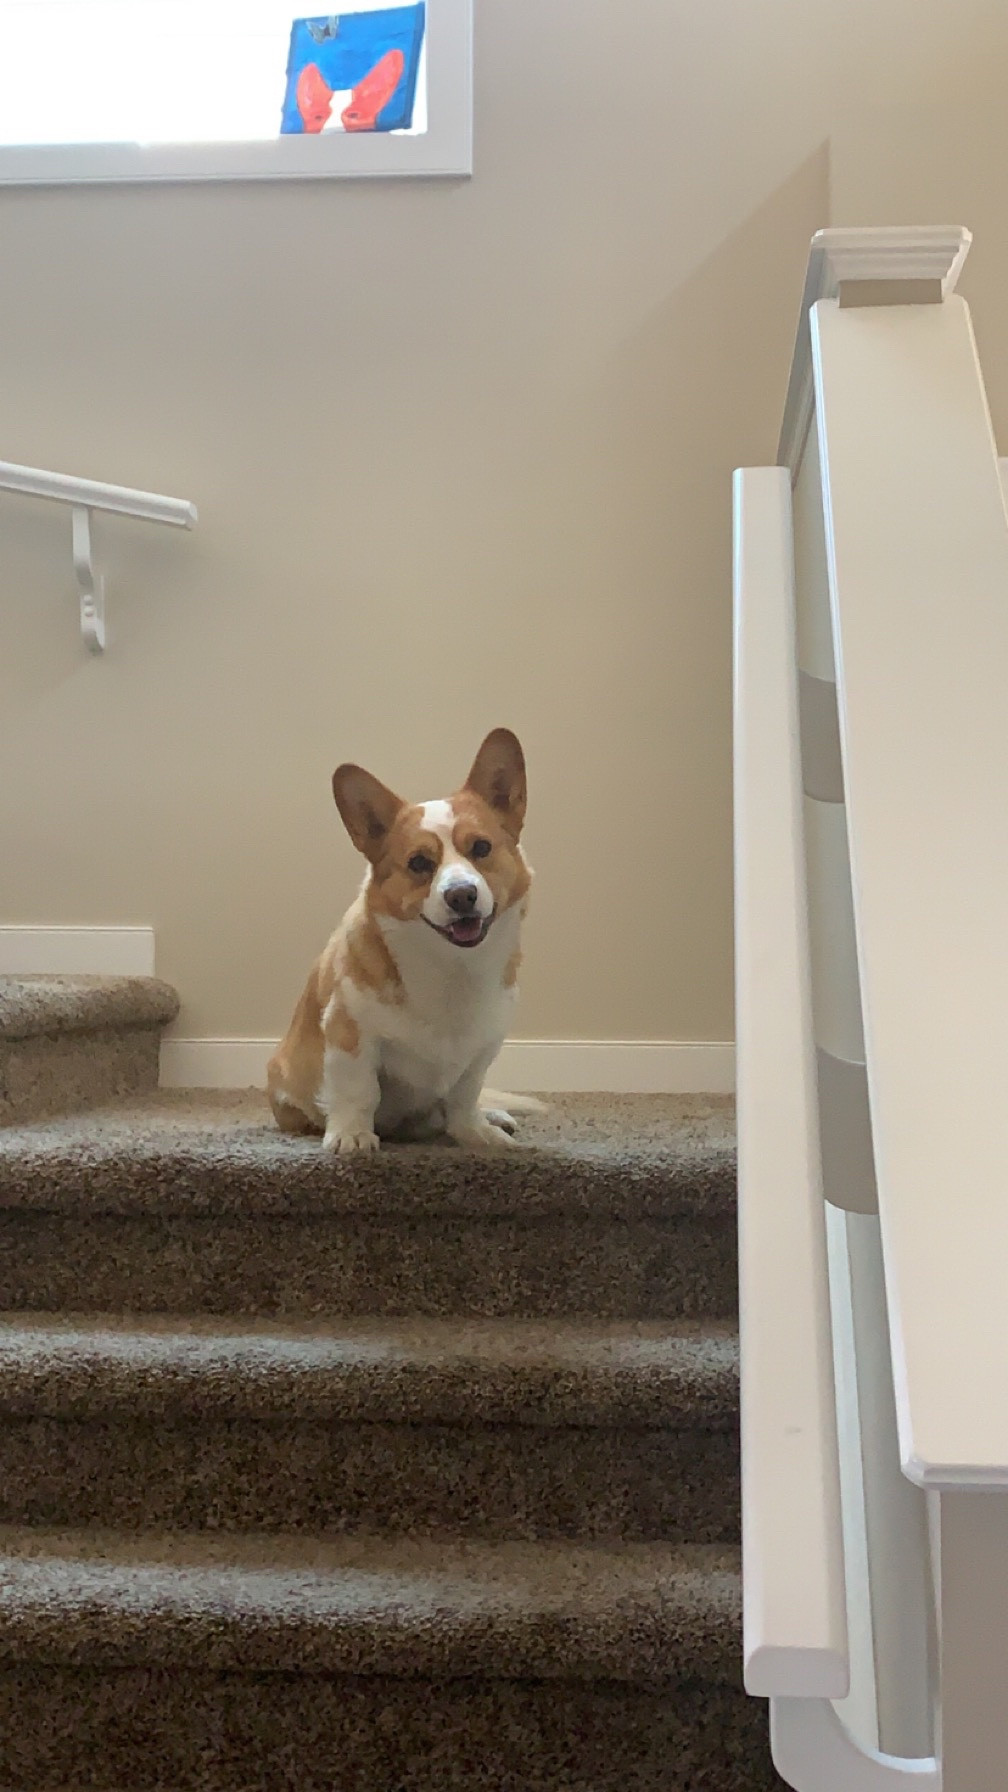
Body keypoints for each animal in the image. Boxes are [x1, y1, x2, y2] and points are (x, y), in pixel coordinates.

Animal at [267, 734, 534, 1154]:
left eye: (481, 848)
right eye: (419, 863)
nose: (462, 895)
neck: (451, 967)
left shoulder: (482, 1049)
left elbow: (465, 1095)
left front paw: (475, 1133)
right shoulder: (349, 1032)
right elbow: (359, 1090)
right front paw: (352, 1136)